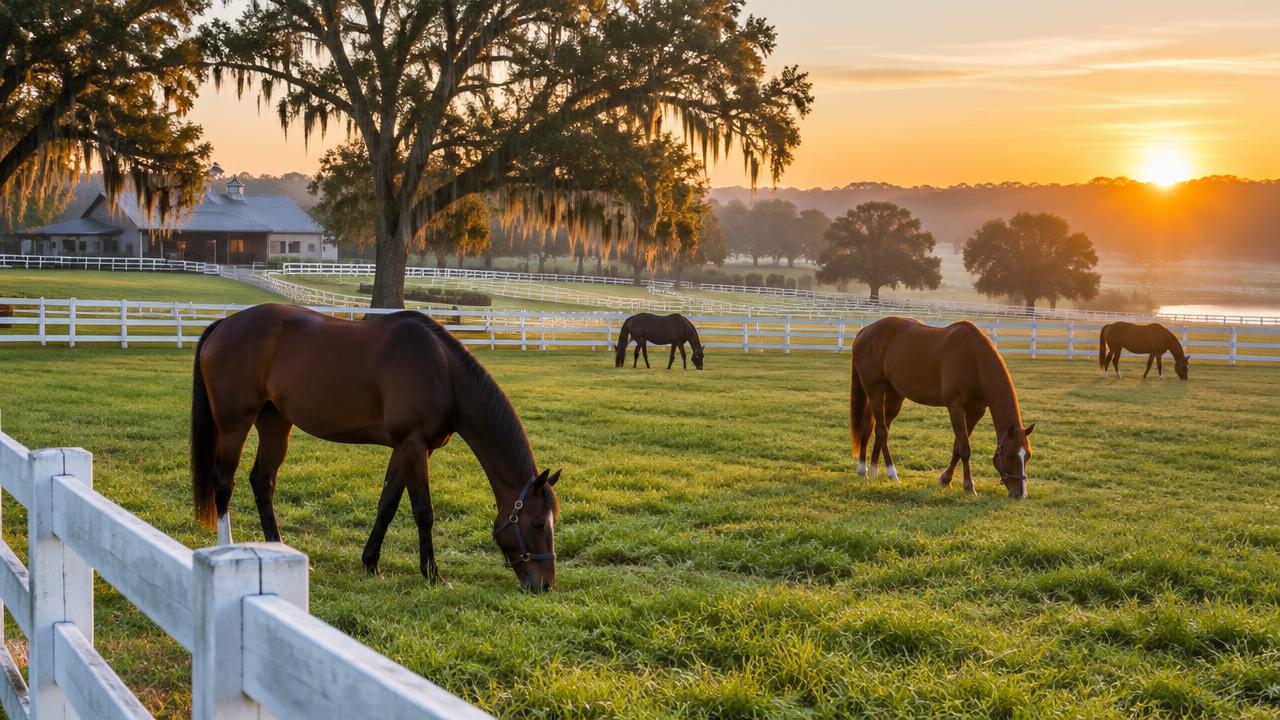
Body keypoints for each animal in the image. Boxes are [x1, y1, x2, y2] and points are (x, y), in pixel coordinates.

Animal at [190, 304, 561, 592]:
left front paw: (371, 563)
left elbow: (387, 504)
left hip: (275, 423)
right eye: (537, 524)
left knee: (262, 481)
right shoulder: (413, 445)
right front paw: (433, 575)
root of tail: (225, 324)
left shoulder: (407, 449)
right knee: (224, 481)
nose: (544, 584)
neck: (442, 371)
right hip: (234, 424)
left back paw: (280, 551)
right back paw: (226, 550)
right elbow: (423, 512)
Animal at [849, 316, 1036, 499]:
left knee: (872, 428)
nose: (1020, 494)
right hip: (875, 392)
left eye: (1028, 455)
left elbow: (957, 448)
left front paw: (946, 480)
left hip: (893, 395)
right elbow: (965, 448)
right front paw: (969, 486)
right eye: (1010, 455)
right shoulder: (955, 407)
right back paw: (889, 473)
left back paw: (869, 470)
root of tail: (864, 331)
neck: (974, 360)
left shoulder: (976, 412)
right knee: (881, 431)